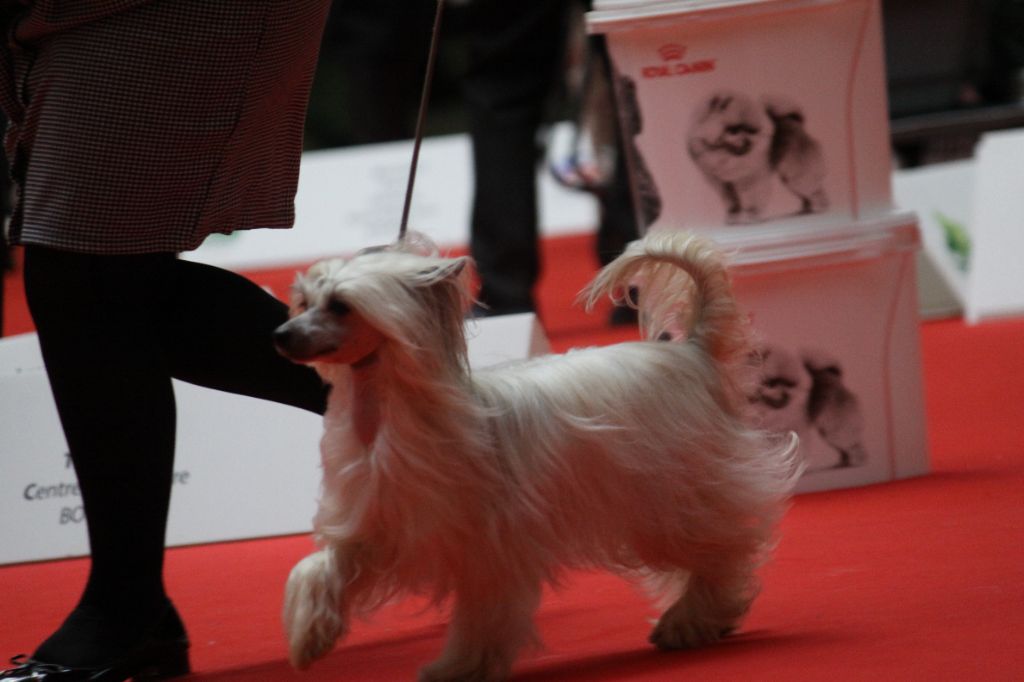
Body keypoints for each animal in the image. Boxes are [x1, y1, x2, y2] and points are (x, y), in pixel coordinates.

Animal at [272, 229, 798, 679]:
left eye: (341, 306)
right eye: (305, 301)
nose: (280, 334)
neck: (387, 417)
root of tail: (690, 352)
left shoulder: (489, 548)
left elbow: (483, 616)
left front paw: (460, 668)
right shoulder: (373, 524)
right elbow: (319, 569)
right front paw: (309, 635)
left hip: (677, 496)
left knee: (723, 551)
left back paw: (695, 619)